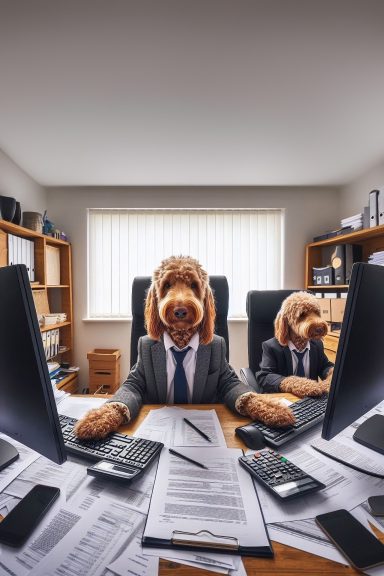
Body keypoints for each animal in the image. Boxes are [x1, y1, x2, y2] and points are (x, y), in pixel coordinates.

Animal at [76, 254, 296, 438]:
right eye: (167, 285)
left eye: (193, 285)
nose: (180, 310)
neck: (180, 341)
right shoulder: (136, 376)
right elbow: (123, 396)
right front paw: (96, 420)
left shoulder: (227, 375)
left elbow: (246, 394)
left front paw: (274, 410)